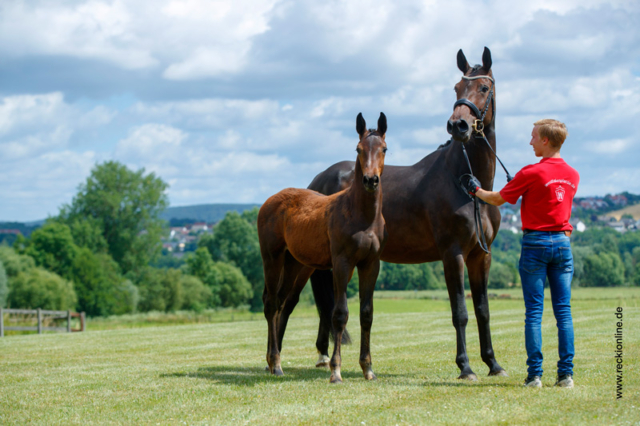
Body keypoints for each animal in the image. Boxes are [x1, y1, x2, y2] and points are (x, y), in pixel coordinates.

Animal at [258, 112, 388, 382]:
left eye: (384, 148)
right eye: (358, 149)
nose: (370, 180)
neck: (361, 215)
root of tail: (270, 201)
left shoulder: (371, 264)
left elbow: (366, 314)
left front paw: (368, 368)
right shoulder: (341, 264)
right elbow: (339, 314)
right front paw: (336, 370)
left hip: (294, 264)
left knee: (282, 302)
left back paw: (271, 361)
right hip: (272, 258)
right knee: (272, 303)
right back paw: (276, 363)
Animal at [308, 46, 508, 380]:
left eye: (483, 88)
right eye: (456, 88)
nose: (458, 125)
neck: (465, 182)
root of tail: (318, 180)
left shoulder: (481, 256)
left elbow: (483, 310)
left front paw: (493, 363)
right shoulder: (453, 253)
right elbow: (460, 312)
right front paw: (465, 366)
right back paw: (326, 357)